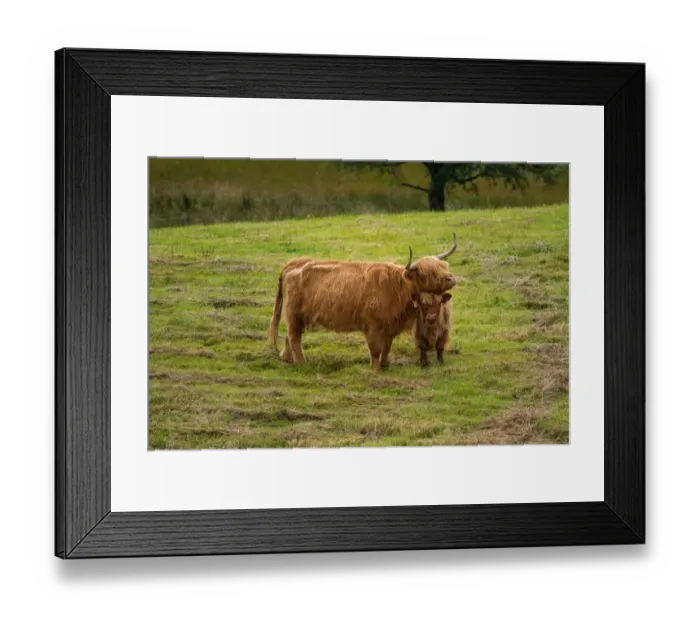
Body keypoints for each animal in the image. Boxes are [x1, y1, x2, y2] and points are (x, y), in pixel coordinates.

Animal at [268, 234, 458, 369]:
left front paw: (385, 364)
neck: (397, 288)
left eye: (443, 266)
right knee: (294, 337)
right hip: (293, 313)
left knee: (290, 335)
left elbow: (387, 346)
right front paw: (375, 369)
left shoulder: (389, 325)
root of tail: (293, 263)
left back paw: (287, 358)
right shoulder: (372, 325)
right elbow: (375, 349)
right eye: (427, 273)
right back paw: (302, 362)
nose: (451, 278)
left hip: (296, 316)